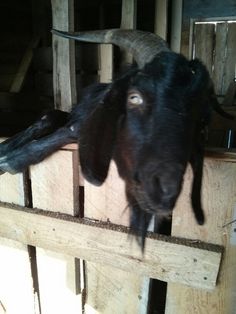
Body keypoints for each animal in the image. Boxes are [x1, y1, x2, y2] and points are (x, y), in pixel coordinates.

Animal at [0, 30, 232, 249]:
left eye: (201, 123)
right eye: (135, 98)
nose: (163, 188)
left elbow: (69, 129)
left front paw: (10, 161)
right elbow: (60, 122)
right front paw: (7, 153)